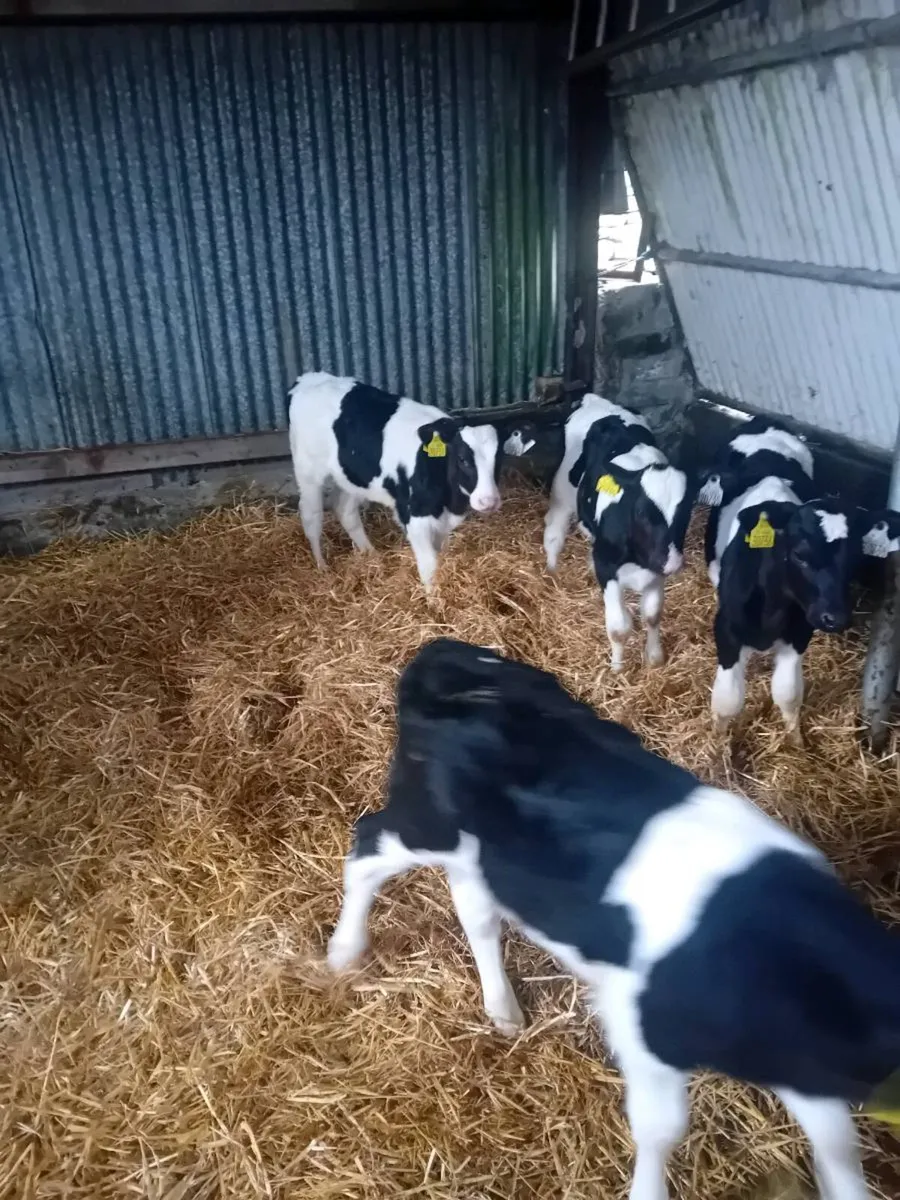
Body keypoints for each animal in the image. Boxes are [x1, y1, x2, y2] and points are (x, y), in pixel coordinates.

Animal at [288, 373, 512, 594]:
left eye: (500, 457)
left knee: (345, 510)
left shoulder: (442, 522)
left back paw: (372, 556)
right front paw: (435, 601)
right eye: (462, 459)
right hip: (308, 473)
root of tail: (306, 378)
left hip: (352, 477)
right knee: (311, 516)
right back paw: (322, 566)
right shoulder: (414, 518)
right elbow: (429, 567)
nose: (488, 501)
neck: (447, 501)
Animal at [328, 638, 900, 1200]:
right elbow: (662, 1128)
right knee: (366, 847)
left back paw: (504, 1010)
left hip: (481, 858)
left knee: (474, 910)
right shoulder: (637, 1025)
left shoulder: (803, 1064)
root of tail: (442, 655)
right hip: (426, 824)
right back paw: (343, 953)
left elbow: (835, 1143)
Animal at [543, 394, 694, 672]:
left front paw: (654, 657)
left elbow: (653, 615)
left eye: (686, 510)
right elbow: (618, 628)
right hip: (562, 492)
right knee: (554, 532)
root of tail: (595, 399)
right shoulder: (607, 565)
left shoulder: (656, 568)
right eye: (642, 512)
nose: (672, 562)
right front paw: (617, 667)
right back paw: (552, 569)